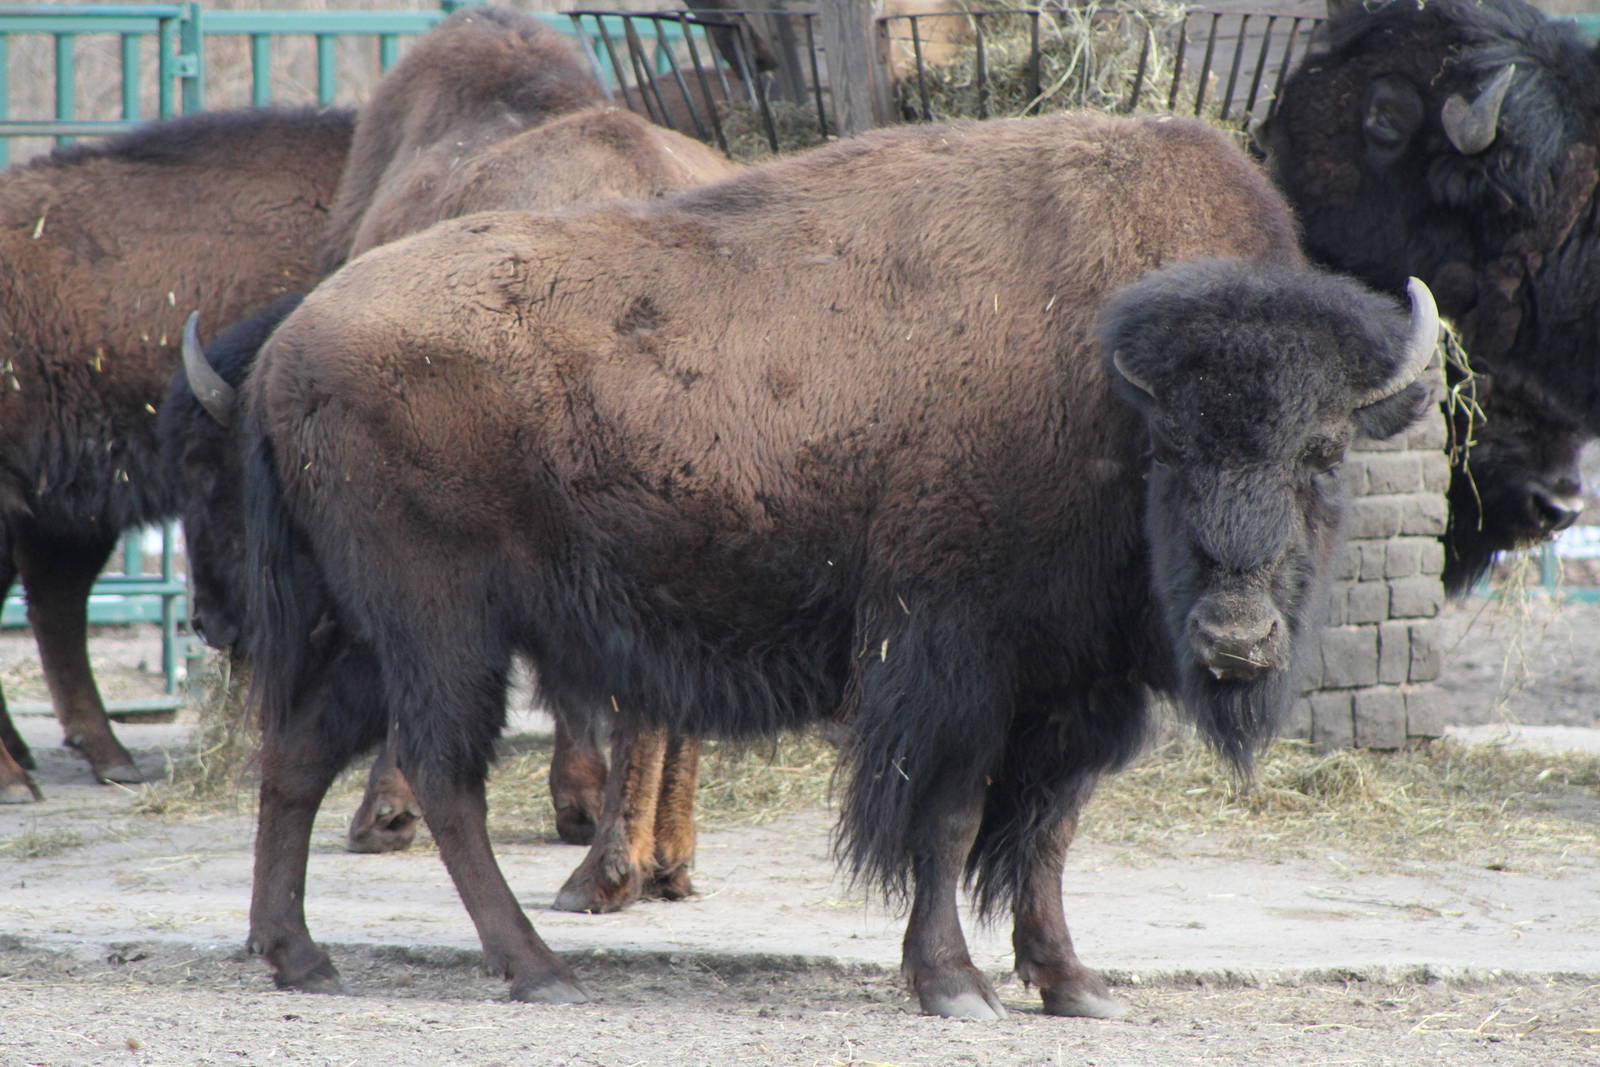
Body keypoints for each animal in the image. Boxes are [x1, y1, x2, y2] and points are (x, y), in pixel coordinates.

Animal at [0, 106, 353, 803]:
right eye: (195, 468)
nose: (210, 625)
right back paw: (17, 775)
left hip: (65, 508)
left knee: (56, 601)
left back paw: (104, 757)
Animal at [229, 110, 1435, 1017]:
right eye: (1171, 449)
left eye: (1323, 451)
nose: (1237, 637)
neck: (1098, 385)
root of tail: (289, 346)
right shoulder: (954, 662)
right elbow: (948, 819)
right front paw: (953, 986)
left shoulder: (1077, 689)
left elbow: (1046, 833)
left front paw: (1074, 984)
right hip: (442, 627)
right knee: (443, 777)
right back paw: (537, 966)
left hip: (367, 631)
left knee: (299, 754)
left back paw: (297, 954)